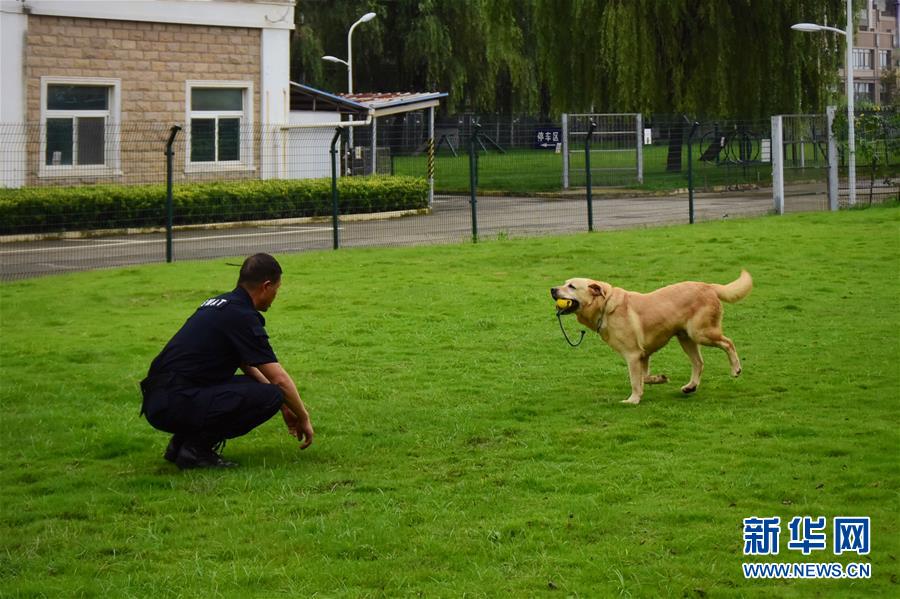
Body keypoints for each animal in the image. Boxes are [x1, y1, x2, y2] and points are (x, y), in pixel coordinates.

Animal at [548, 274, 752, 406]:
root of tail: (709, 285)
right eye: (564, 283)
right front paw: (659, 379)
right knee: (699, 363)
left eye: (571, 286)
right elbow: (643, 377)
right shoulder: (643, 355)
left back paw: (736, 369)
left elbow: (634, 380)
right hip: (685, 337)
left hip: (701, 333)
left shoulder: (632, 355)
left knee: (728, 343)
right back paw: (690, 387)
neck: (605, 306)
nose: (552, 289)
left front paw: (632, 400)